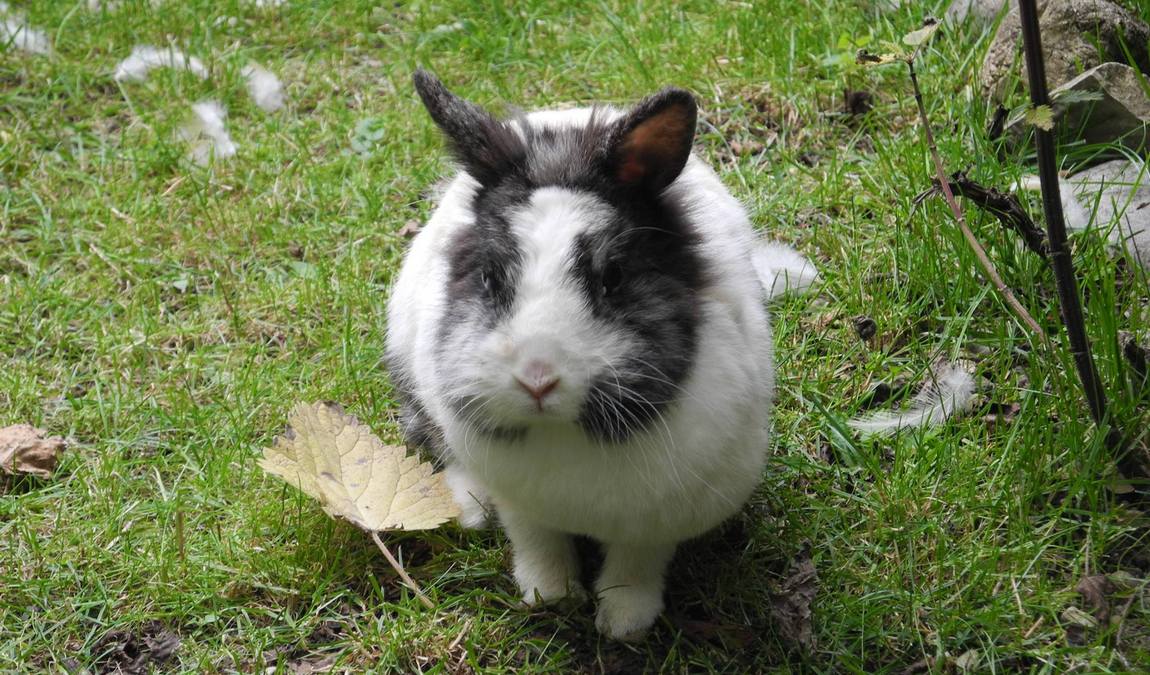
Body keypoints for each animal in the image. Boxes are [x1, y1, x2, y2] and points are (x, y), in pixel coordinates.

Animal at [386, 71, 809, 643]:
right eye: (490, 278)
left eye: (613, 277)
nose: (537, 379)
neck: (566, 433)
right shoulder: (521, 501)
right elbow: (536, 540)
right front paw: (550, 595)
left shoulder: (658, 518)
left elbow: (637, 561)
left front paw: (624, 623)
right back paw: (470, 509)